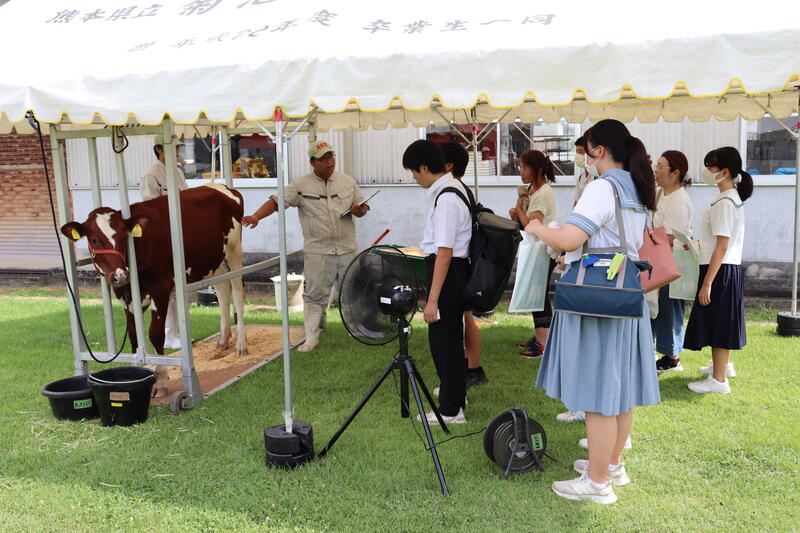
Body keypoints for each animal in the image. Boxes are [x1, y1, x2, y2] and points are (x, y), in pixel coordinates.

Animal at [61, 183, 247, 394]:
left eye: (124, 237)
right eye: (94, 240)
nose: (119, 275)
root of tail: (223, 187)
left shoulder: (160, 289)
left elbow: (155, 334)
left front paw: (161, 379)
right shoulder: (125, 296)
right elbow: (134, 335)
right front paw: (133, 375)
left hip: (234, 250)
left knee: (237, 292)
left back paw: (241, 345)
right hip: (213, 261)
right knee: (223, 289)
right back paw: (223, 340)